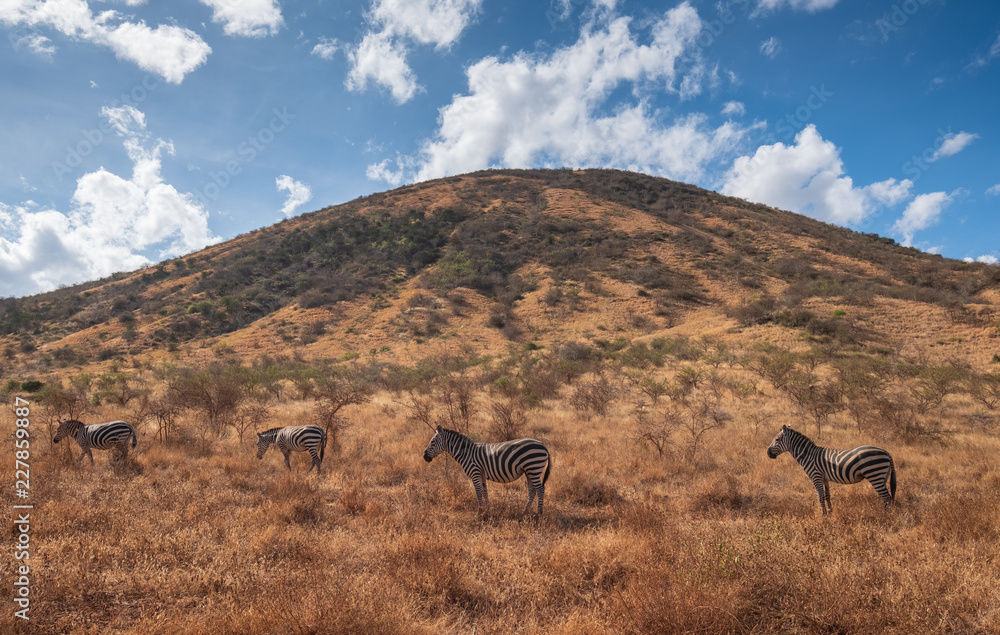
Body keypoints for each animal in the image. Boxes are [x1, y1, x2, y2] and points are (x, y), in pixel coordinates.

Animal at [423, 425, 552, 516]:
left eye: (432, 442)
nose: (425, 457)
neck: (466, 453)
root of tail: (543, 445)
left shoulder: (475, 473)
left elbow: (479, 492)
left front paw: (479, 512)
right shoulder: (482, 475)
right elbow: (485, 492)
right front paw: (487, 511)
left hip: (534, 468)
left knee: (540, 490)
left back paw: (538, 514)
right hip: (529, 471)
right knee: (532, 491)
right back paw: (524, 512)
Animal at [766, 425, 896, 515]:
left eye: (777, 439)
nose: (768, 453)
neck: (808, 455)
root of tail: (886, 452)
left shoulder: (816, 476)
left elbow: (820, 496)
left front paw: (823, 514)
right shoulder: (824, 478)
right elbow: (827, 495)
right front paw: (830, 512)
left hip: (875, 475)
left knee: (887, 497)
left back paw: (886, 516)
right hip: (882, 476)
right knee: (887, 498)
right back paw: (887, 513)